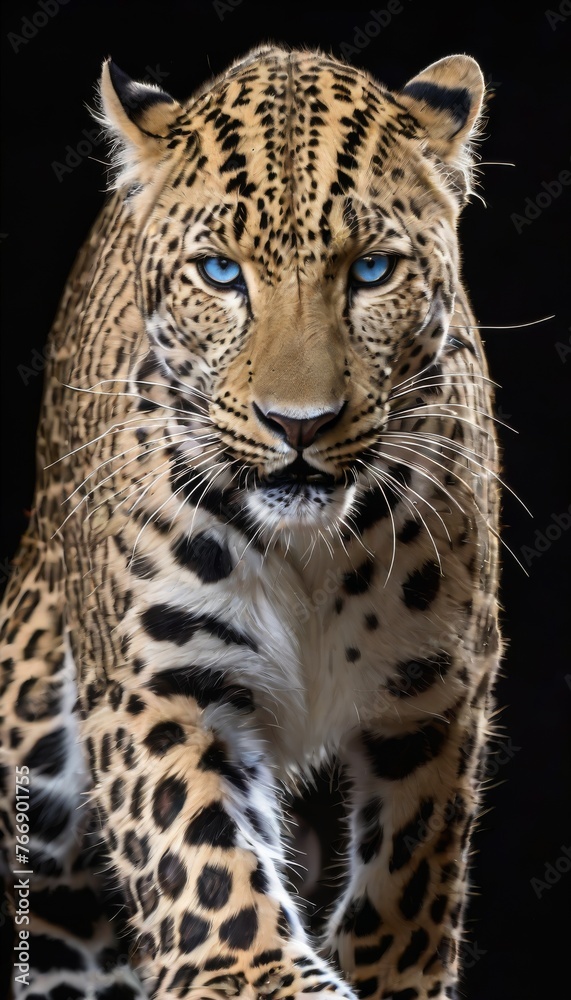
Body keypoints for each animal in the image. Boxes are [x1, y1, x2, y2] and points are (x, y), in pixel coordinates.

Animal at [0, 44, 503, 1000]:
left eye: (371, 271)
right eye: (221, 273)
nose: (297, 423)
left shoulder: (439, 688)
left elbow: (412, 869)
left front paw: (391, 968)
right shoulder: (162, 683)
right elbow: (203, 863)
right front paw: (257, 971)